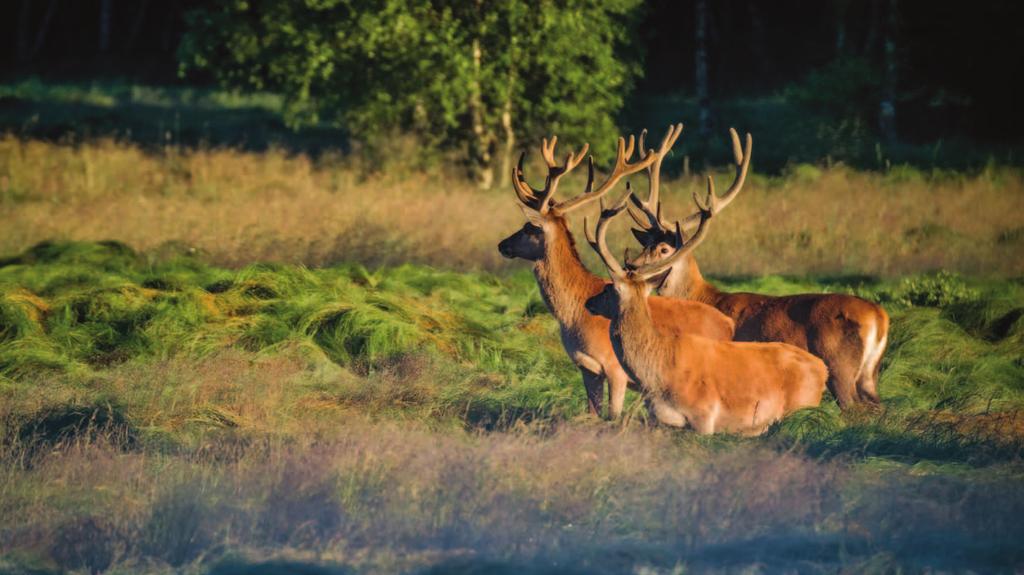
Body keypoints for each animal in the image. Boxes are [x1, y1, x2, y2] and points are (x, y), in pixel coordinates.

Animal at [497, 127, 733, 415]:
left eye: (529, 227)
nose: (502, 245)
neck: (573, 313)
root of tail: (729, 324)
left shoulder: (615, 370)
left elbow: (612, 414)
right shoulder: (587, 369)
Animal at [622, 127, 888, 409]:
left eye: (664, 249)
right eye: (645, 243)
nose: (631, 266)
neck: (704, 298)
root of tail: (879, 316)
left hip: (839, 367)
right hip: (868, 375)